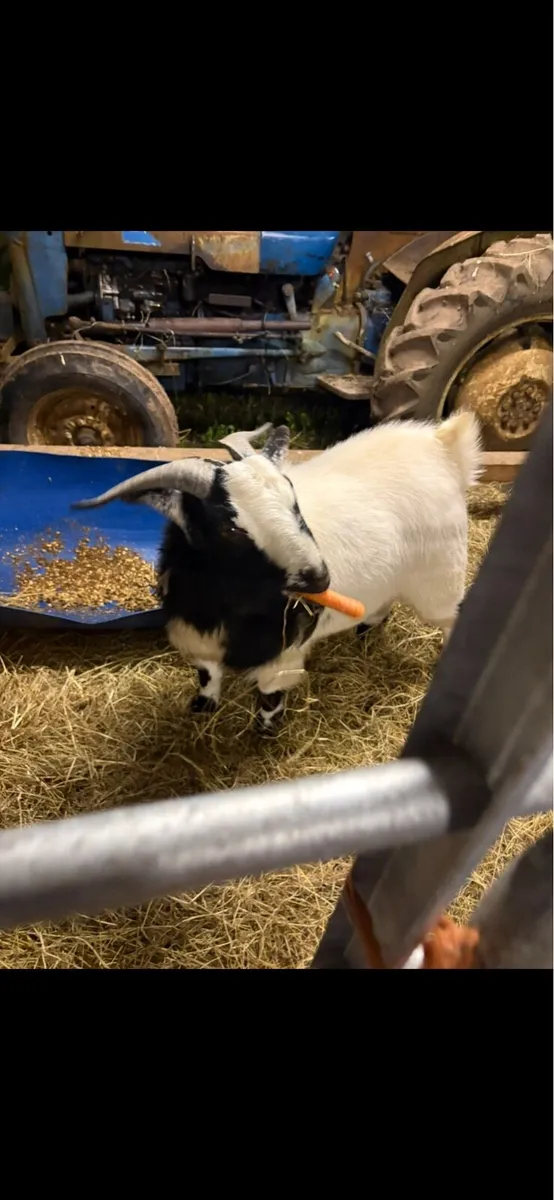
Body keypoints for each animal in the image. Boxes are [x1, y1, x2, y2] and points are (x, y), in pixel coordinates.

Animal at [73, 412, 481, 732]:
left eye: (292, 499)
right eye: (230, 528)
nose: (320, 578)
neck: (222, 607)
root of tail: (443, 446)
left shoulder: (282, 656)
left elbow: (269, 697)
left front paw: (265, 731)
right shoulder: (199, 641)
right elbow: (207, 675)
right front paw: (202, 707)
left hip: (439, 581)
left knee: (452, 616)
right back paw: (365, 631)